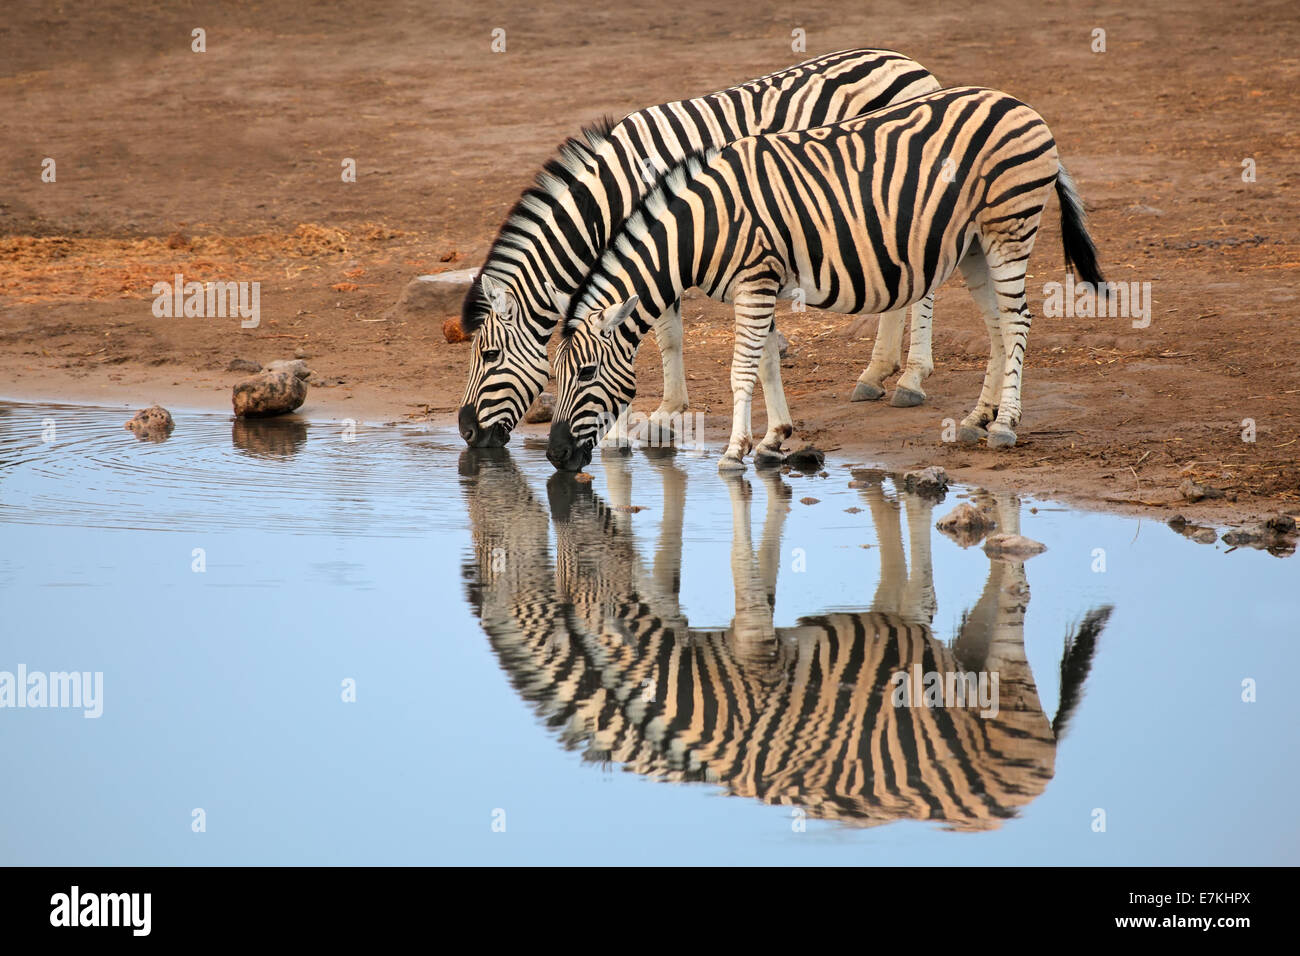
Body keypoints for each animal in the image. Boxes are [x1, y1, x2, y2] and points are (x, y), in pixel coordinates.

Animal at [460, 52, 946, 452]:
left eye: (488, 356)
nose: (464, 430)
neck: (614, 194)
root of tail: (909, 62)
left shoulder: (662, 243)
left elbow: (664, 335)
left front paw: (637, 426)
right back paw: (875, 374)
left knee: (924, 290)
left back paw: (911, 379)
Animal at [543, 83, 1102, 473]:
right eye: (555, 374)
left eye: (586, 375)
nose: (553, 456)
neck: (707, 224)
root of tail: (1019, 103)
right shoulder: (761, 284)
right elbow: (768, 362)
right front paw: (773, 439)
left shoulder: (755, 280)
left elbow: (741, 370)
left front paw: (733, 451)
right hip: (975, 246)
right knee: (997, 326)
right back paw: (976, 419)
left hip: (1010, 228)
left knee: (1018, 320)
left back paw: (1005, 425)